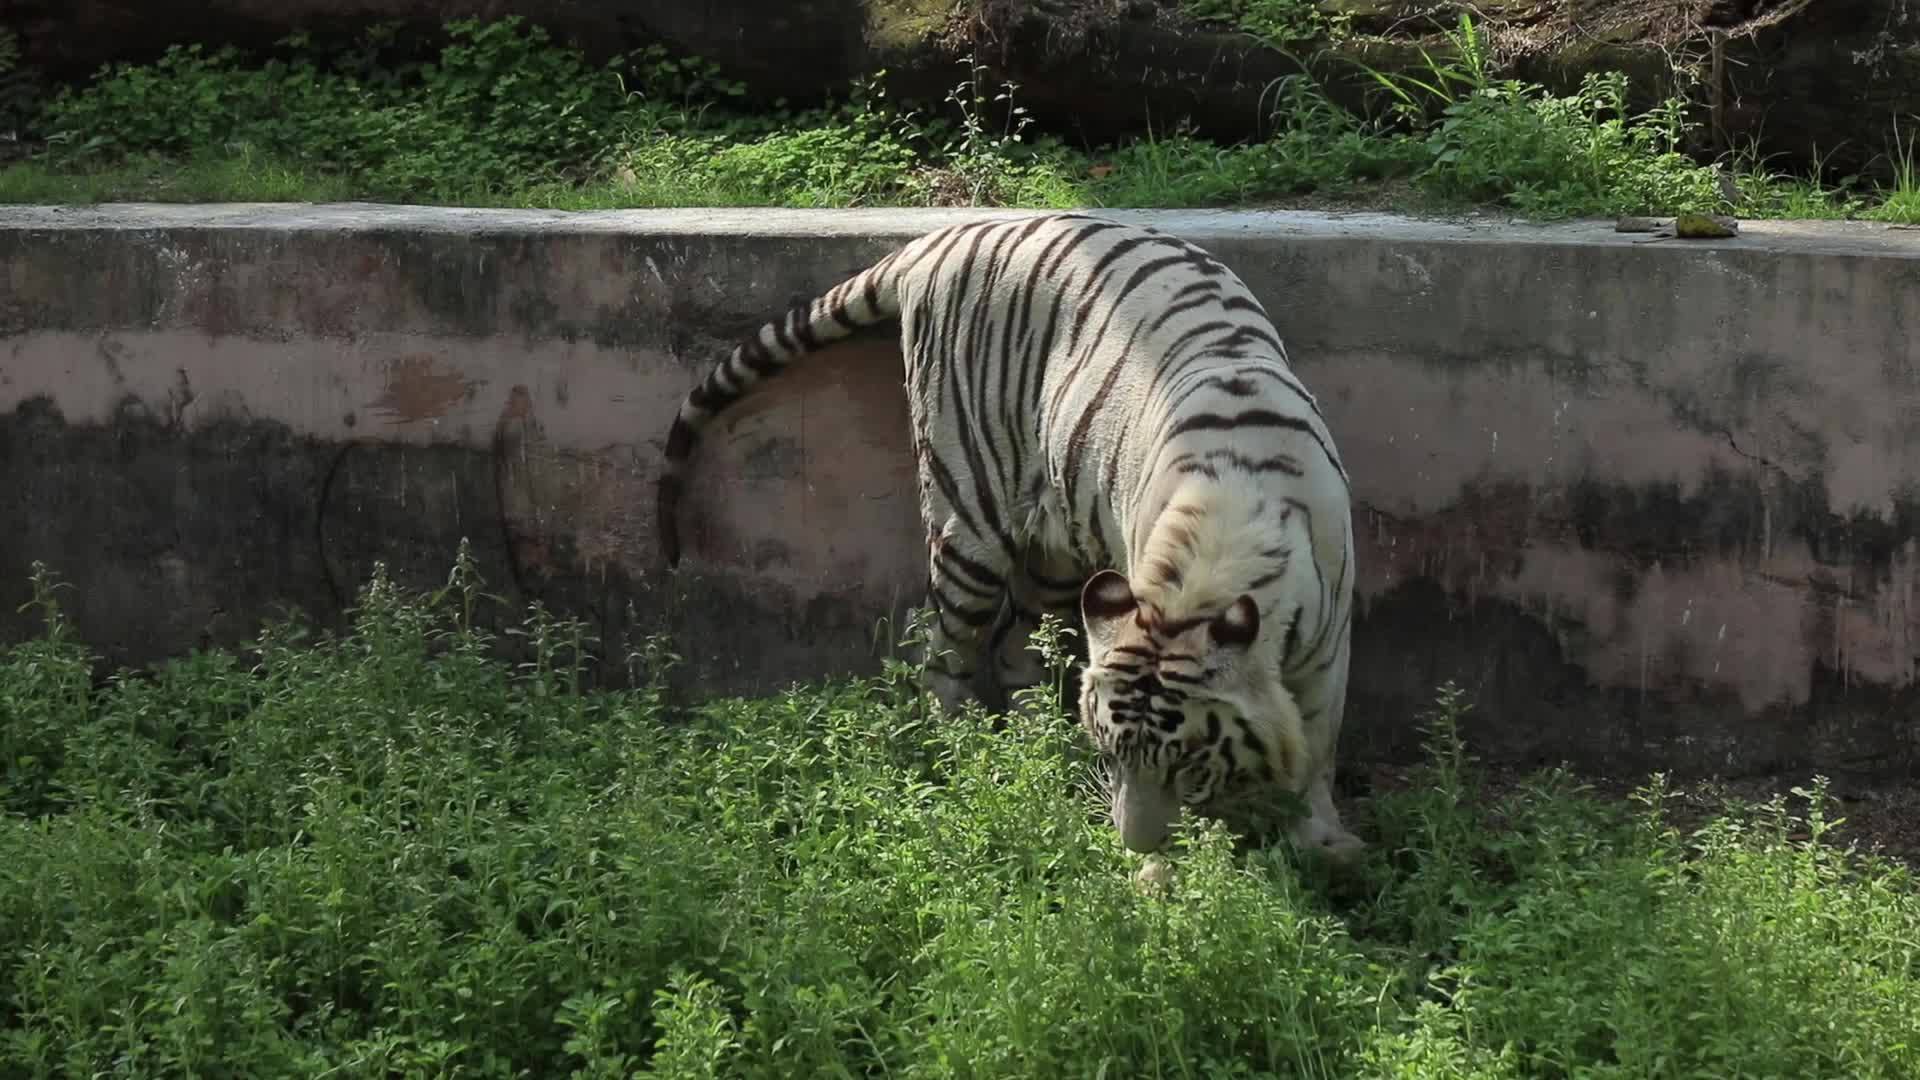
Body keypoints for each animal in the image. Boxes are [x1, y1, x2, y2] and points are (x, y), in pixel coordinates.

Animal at [655, 213, 1361, 858]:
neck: (1210, 553)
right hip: (966, 515)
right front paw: (1163, 875)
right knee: (938, 646)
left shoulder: (1327, 645)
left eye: (1186, 763)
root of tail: (938, 239)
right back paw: (967, 751)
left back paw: (1040, 746)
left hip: (1052, 548)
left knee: (1012, 647)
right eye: (1114, 755)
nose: (1134, 844)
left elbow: (1318, 745)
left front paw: (1322, 841)